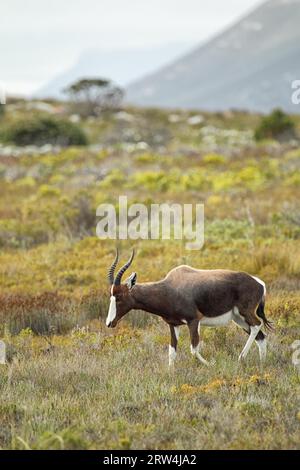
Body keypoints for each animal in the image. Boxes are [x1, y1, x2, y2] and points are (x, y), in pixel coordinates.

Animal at [105, 248, 272, 366]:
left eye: (119, 297)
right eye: (111, 295)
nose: (109, 323)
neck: (170, 287)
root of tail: (259, 283)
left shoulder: (193, 321)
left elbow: (194, 349)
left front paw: (211, 364)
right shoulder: (173, 325)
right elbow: (172, 352)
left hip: (245, 313)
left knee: (257, 325)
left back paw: (241, 358)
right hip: (238, 319)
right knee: (261, 336)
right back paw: (262, 363)